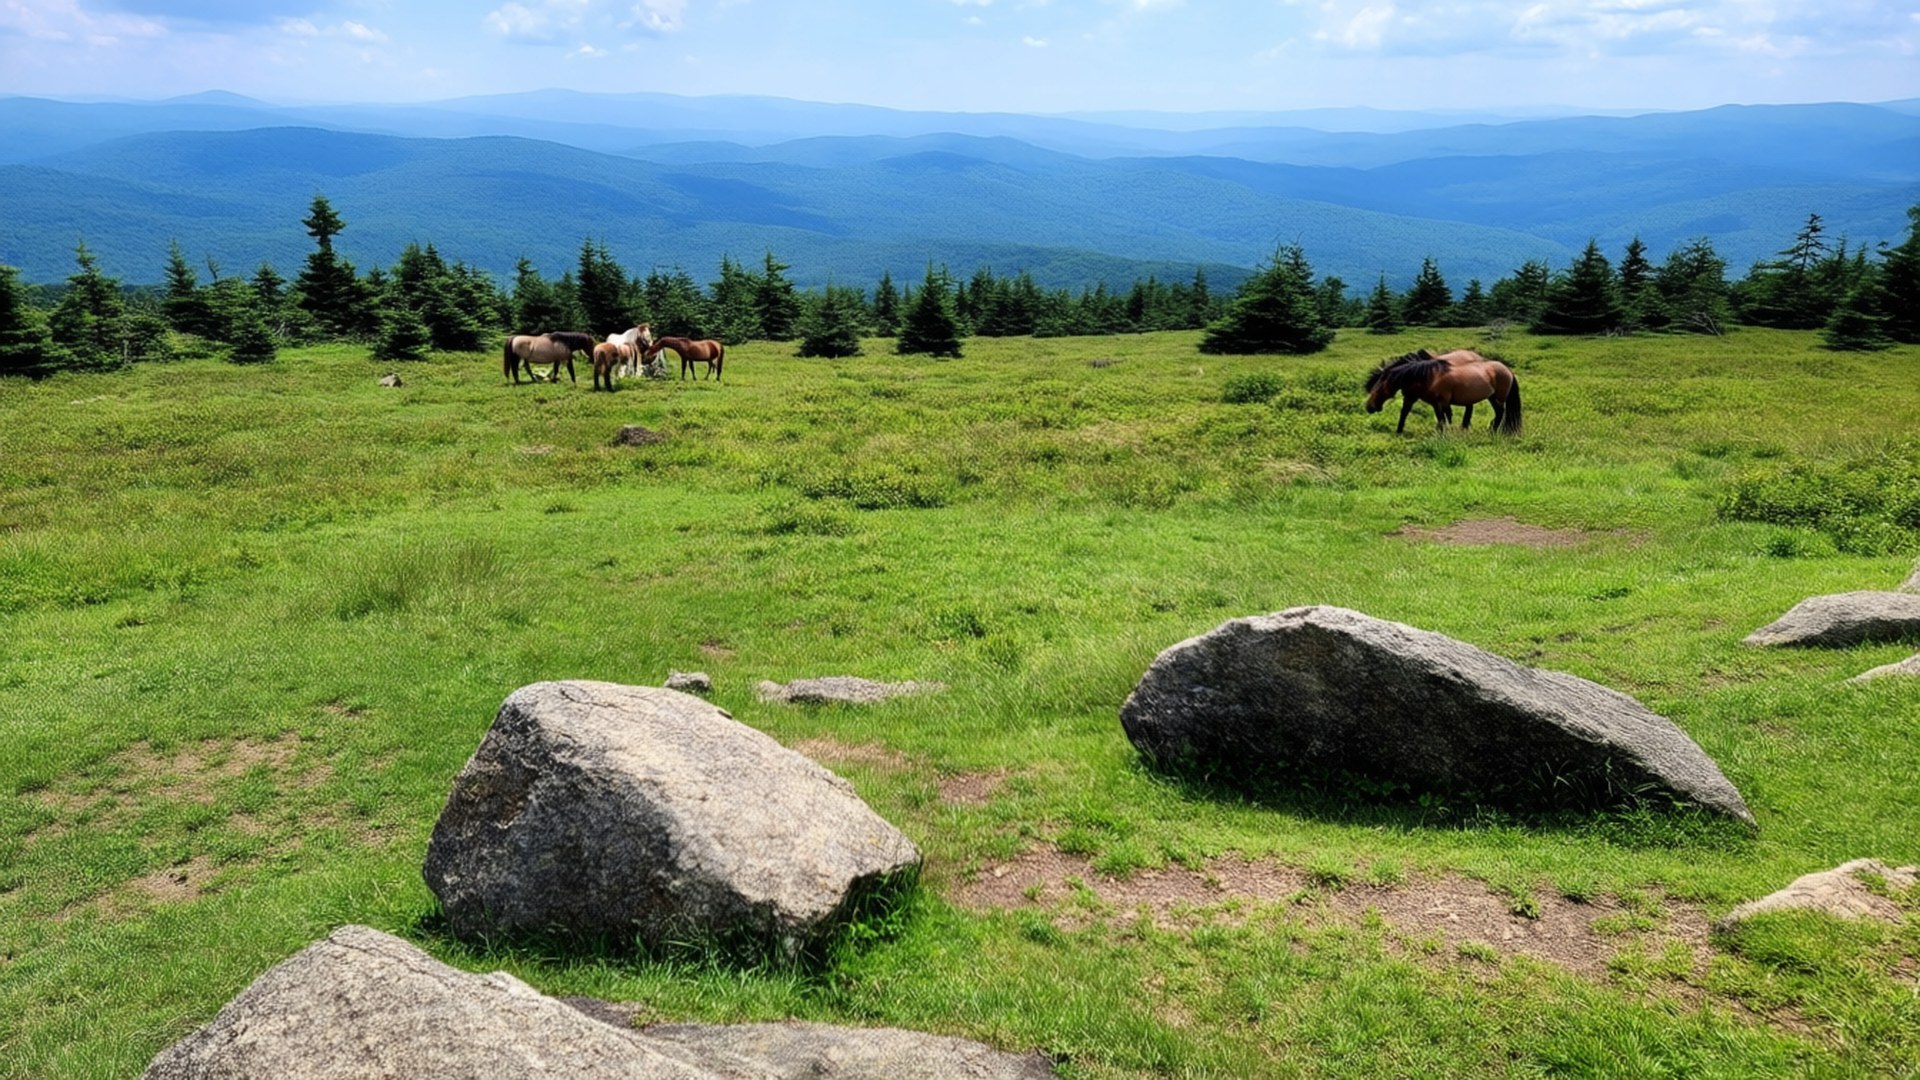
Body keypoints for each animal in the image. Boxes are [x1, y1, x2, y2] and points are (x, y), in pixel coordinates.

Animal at [1363, 348, 1522, 434]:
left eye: (1378, 388)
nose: (1369, 407)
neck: (1431, 376)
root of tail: (1508, 370)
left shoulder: (1441, 403)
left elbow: (1442, 420)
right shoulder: (1420, 399)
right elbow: (1405, 413)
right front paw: (1399, 431)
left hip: (1498, 398)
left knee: (1500, 413)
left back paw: (1491, 430)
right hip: (1490, 397)